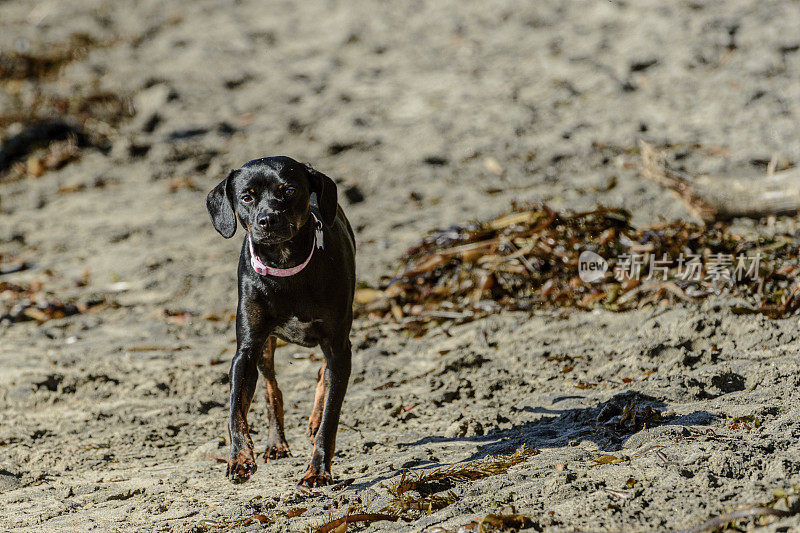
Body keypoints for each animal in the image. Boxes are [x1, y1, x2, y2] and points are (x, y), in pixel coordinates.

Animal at [205, 155, 354, 486]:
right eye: (246, 197)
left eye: (287, 190)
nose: (267, 219)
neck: (286, 265)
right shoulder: (247, 350)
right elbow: (235, 410)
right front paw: (240, 458)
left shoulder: (339, 345)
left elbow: (331, 415)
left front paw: (317, 470)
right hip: (266, 348)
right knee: (272, 389)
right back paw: (276, 444)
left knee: (324, 374)